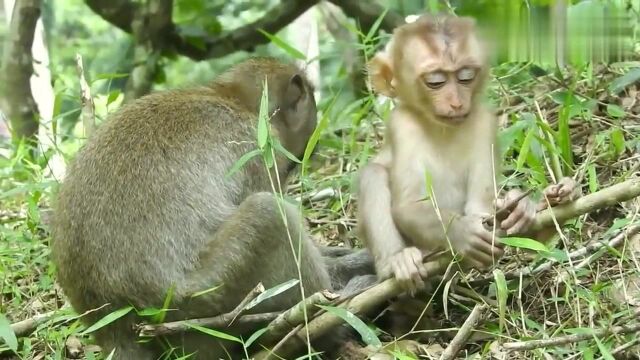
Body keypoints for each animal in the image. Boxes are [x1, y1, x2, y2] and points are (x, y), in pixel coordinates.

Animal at [53, 57, 380, 358]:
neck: (233, 99)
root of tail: (118, 328)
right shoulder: (258, 150)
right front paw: (347, 267)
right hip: (204, 301)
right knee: (267, 213)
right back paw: (333, 320)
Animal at [360, 15, 580, 294]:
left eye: (466, 77)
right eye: (435, 82)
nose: (456, 102)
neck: (441, 128)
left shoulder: (485, 122)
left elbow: (481, 208)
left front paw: (521, 207)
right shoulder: (402, 125)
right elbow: (408, 206)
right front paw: (462, 232)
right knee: (373, 174)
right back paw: (396, 262)